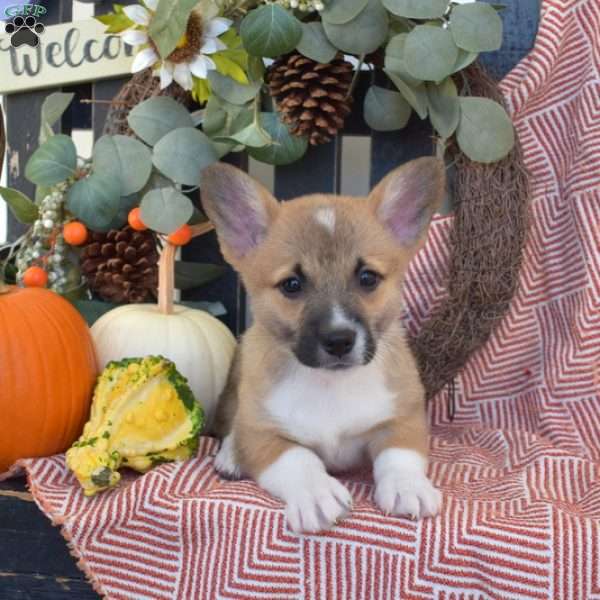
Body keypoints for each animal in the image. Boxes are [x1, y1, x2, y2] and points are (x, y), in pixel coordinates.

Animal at [202, 157, 446, 532]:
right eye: (291, 284)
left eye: (367, 278)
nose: (339, 340)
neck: (331, 384)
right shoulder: (262, 437)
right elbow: (297, 458)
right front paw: (317, 495)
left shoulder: (404, 419)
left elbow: (399, 455)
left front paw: (408, 488)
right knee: (231, 423)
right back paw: (231, 454)